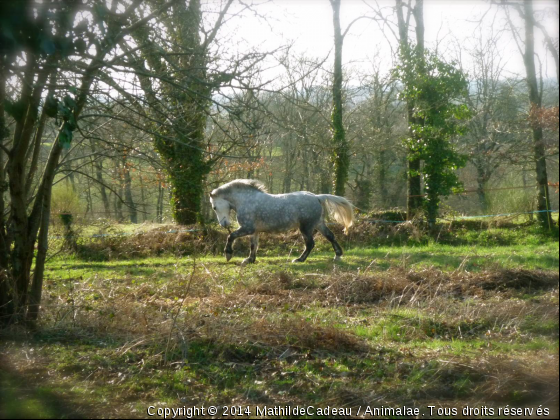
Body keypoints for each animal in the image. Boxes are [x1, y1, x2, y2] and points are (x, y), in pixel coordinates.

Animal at [210, 179, 354, 264]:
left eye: (214, 207)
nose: (224, 224)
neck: (246, 200)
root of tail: (317, 197)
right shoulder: (254, 230)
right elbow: (253, 245)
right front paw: (250, 260)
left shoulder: (247, 228)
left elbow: (231, 236)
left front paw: (228, 254)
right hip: (318, 224)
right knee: (330, 236)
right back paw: (338, 256)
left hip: (306, 227)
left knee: (310, 244)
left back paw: (299, 259)